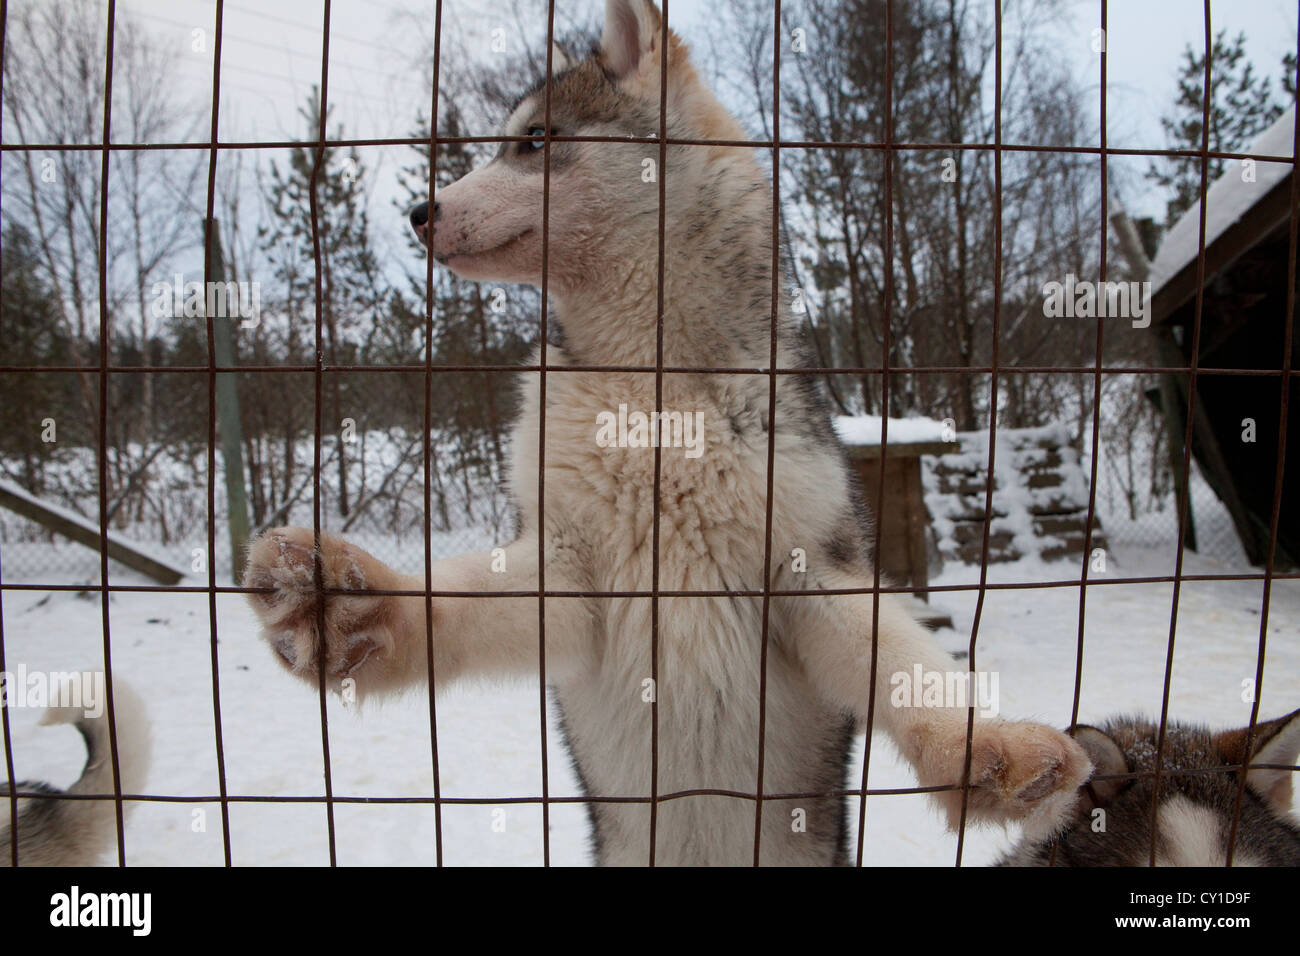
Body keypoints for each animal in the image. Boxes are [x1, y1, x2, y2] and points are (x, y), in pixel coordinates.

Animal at [241, 0, 1086, 868]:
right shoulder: (567, 572)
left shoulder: (814, 570)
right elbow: (465, 595)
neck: (654, 394)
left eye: (534, 140)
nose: (417, 213)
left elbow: (905, 661)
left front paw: (985, 746)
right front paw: (356, 605)